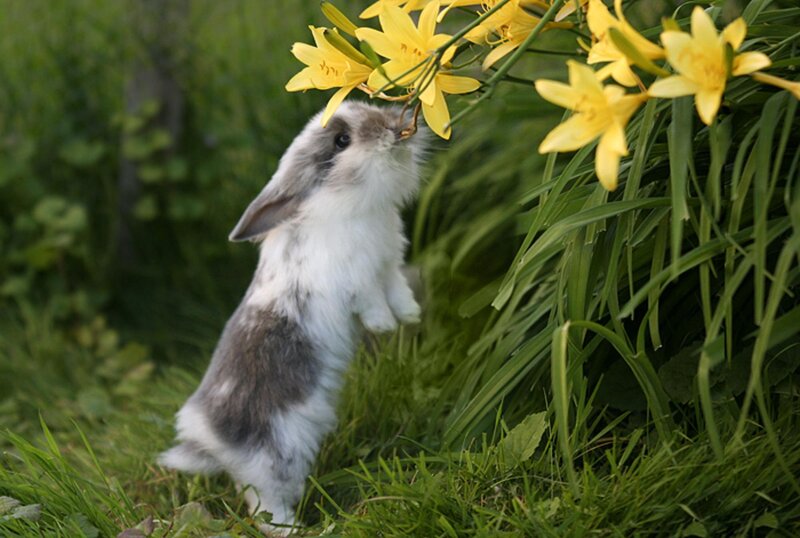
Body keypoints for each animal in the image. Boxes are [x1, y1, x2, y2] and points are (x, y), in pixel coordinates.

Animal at [159, 101, 425, 534]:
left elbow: (397, 290)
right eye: (341, 140)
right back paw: (304, 528)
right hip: (276, 459)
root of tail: (210, 439)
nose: (392, 124)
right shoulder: (357, 281)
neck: (343, 204)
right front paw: (384, 326)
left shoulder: (388, 266)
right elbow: (371, 302)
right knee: (265, 509)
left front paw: (410, 315)